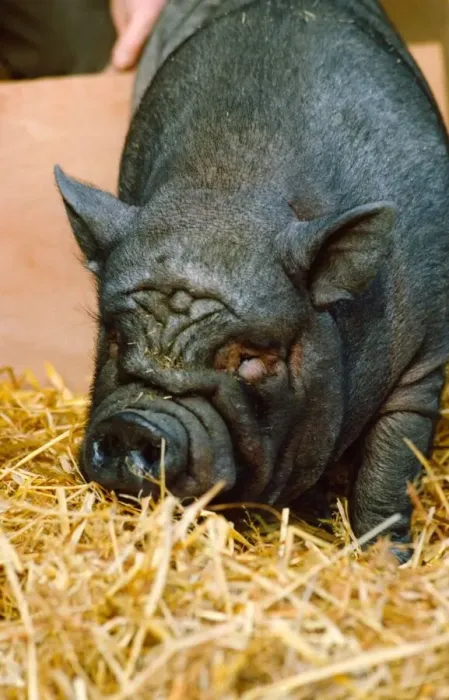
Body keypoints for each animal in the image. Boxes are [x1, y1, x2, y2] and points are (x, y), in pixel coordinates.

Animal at [55, 0, 449, 561]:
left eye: (250, 358)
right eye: (115, 337)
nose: (135, 425)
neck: (229, 186)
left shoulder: (423, 360)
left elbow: (390, 468)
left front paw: (386, 561)